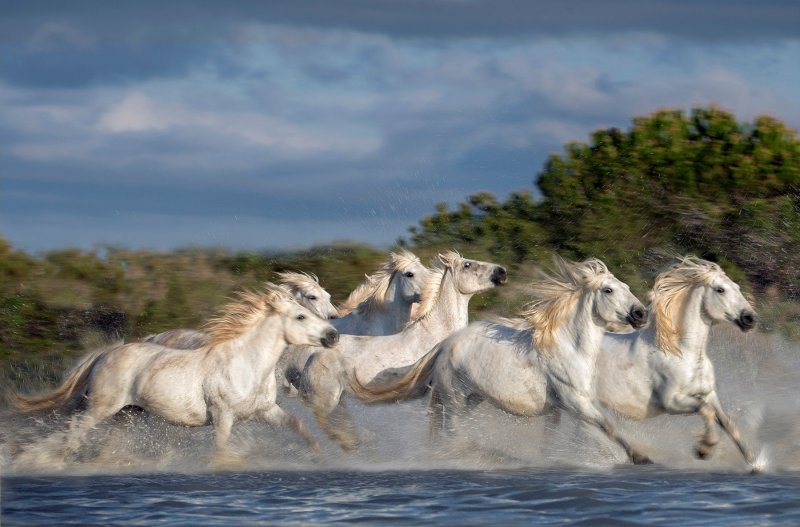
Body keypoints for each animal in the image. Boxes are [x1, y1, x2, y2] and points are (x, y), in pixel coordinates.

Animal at [11, 282, 340, 464]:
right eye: (301, 315)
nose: (333, 335)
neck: (245, 364)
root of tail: (107, 352)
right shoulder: (223, 415)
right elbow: (221, 447)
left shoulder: (265, 411)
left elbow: (299, 426)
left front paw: (321, 456)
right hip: (101, 408)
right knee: (75, 432)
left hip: (128, 414)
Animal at [296, 254, 504, 452]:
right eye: (467, 264)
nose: (501, 272)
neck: (436, 334)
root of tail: (312, 357)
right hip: (326, 400)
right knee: (322, 422)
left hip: (338, 399)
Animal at [354, 258, 652, 464]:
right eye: (608, 290)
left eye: (626, 286)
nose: (641, 314)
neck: (568, 348)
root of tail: (445, 344)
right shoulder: (575, 402)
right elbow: (607, 426)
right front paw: (641, 457)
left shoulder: (564, 408)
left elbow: (571, 435)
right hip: (454, 399)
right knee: (452, 434)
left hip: (471, 400)